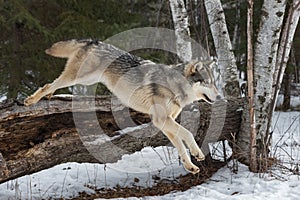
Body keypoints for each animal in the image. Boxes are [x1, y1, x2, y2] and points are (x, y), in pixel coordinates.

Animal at [24, 39, 221, 173]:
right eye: (208, 83)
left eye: (214, 83)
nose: (219, 96)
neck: (174, 86)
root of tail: (95, 41)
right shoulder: (160, 120)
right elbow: (188, 134)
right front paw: (198, 154)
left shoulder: (166, 123)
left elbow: (180, 146)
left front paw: (190, 166)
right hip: (80, 78)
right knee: (49, 84)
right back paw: (31, 100)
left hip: (88, 79)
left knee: (52, 84)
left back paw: (47, 96)